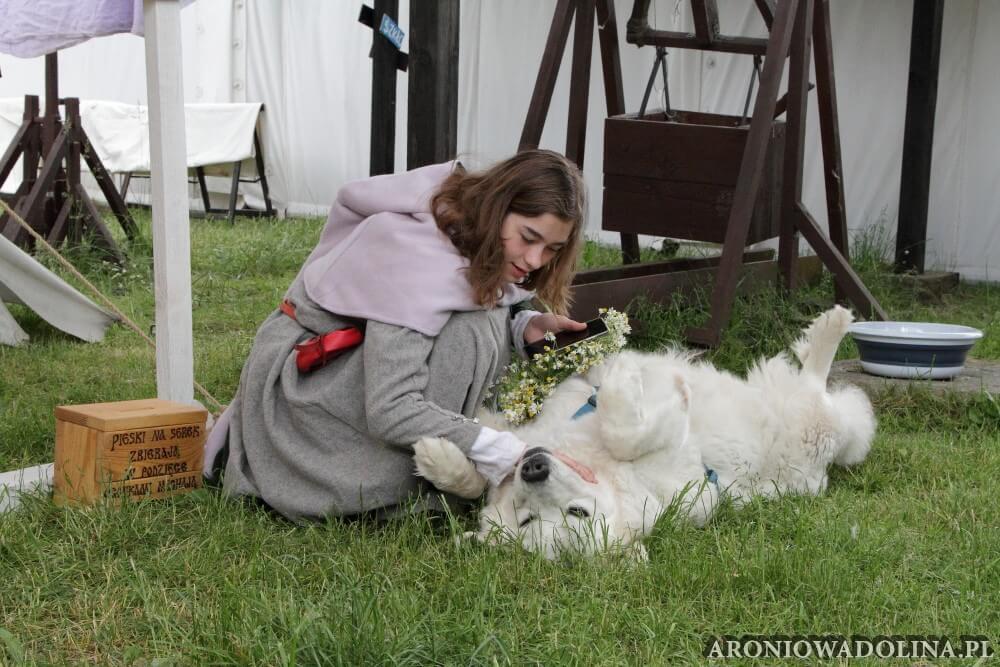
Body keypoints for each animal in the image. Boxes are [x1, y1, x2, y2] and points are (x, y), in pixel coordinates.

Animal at [412, 308, 876, 560]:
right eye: (528, 520)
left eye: (577, 513)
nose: (534, 468)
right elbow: (482, 467)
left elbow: (626, 431)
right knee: (816, 382)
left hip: (814, 426)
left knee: (818, 382)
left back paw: (833, 325)